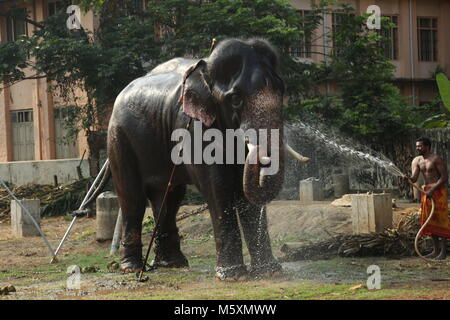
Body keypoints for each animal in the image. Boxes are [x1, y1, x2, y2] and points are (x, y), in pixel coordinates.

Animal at [104, 37, 310, 280]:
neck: (207, 71)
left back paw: (173, 264)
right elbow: (217, 186)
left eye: (281, 91)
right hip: (119, 138)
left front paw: (268, 272)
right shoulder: (193, 125)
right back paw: (133, 267)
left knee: (168, 198)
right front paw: (232, 276)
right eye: (236, 99)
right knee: (132, 197)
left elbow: (244, 193)